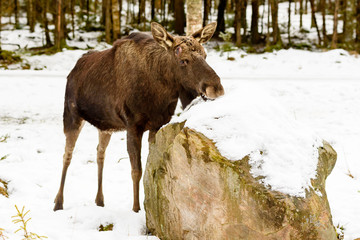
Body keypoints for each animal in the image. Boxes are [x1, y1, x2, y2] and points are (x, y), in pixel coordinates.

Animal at [52, 21, 225, 211]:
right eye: (183, 60)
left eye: (205, 55)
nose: (216, 88)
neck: (161, 93)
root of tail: (72, 71)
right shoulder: (133, 125)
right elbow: (136, 170)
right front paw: (136, 209)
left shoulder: (157, 124)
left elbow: (150, 165)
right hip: (71, 115)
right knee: (67, 155)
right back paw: (58, 202)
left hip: (106, 126)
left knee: (100, 152)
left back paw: (99, 200)